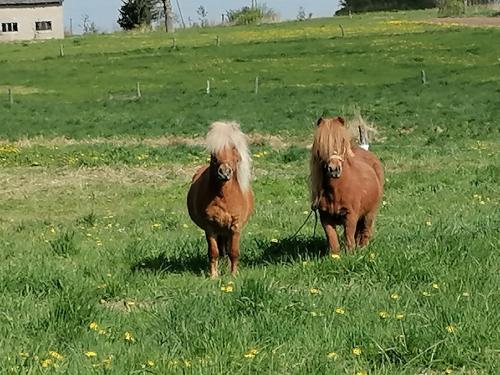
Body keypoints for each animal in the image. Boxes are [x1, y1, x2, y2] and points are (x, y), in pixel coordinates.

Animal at [187, 122, 254, 278]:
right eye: (214, 153)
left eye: (234, 147)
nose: (224, 172)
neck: (224, 196)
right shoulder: (210, 228)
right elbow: (214, 252)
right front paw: (213, 276)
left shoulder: (235, 227)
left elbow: (233, 252)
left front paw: (233, 275)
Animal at [310, 117, 384, 256]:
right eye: (322, 146)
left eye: (342, 143)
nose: (334, 169)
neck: (336, 191)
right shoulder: (325, 217)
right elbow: (333, 240)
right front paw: (335, 256)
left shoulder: (350, 215)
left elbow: (349, 238)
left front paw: (350, 255)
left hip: (370, 213)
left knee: (365, 232)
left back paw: (362, 250)